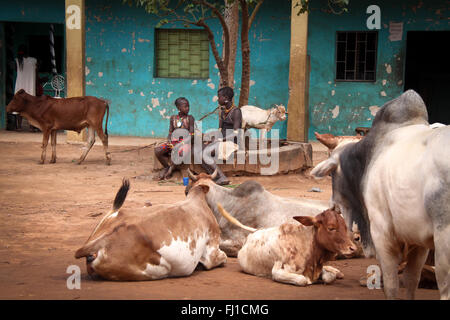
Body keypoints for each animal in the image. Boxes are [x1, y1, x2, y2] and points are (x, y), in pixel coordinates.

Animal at [312, 90, 450, 300]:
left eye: (332, 174)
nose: (332, 206)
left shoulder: (381, 231)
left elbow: (391, 284)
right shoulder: (420, 243)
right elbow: (411, 280)